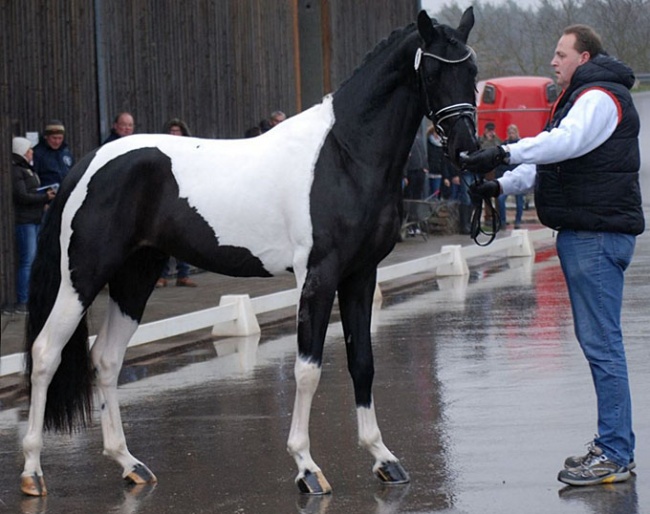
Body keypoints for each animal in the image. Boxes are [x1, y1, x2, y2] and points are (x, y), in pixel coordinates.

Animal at [21, 9, 476, 496]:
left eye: (472, 71)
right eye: (433, 72)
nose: (466, 148)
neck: (344, 156)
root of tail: (87, 164)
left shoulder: (361, 274)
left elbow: (363, 363)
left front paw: (384, 459)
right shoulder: (318, 275)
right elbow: (308, 369)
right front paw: (306, 467)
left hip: (135, 277)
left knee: (106, 359)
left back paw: (130, 464)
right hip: (83, 277)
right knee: (46, 354)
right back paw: (32, 472)